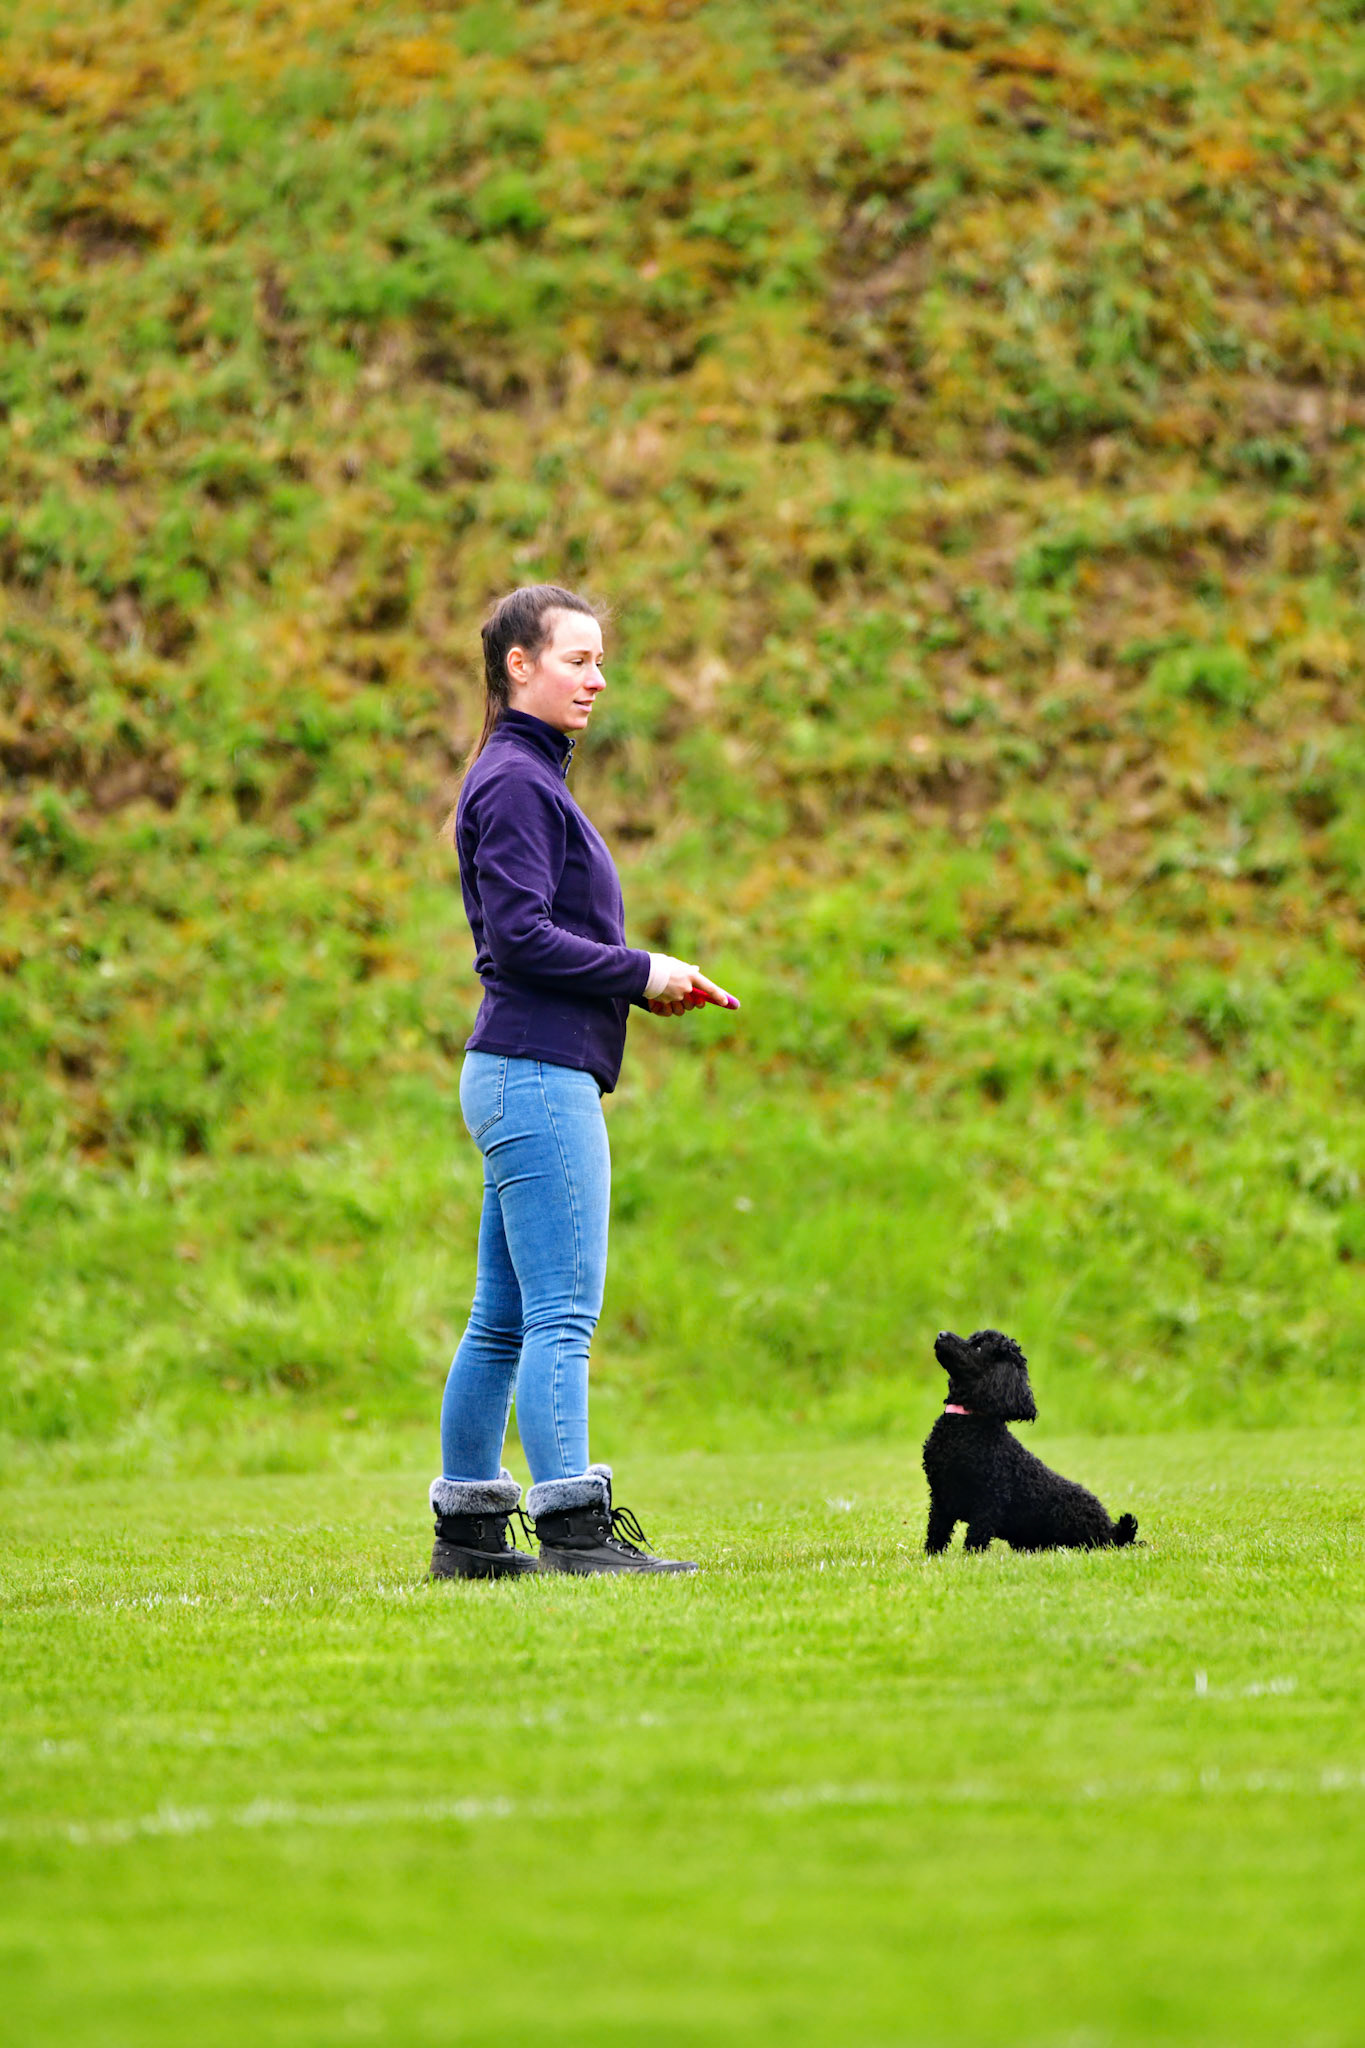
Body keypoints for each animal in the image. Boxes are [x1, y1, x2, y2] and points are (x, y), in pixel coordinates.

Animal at [922, 1329, 1139, 1554]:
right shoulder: (941, 1496)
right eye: (971, 1338)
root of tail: (1111, 1530)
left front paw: (972, 1557)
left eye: (979, 1347)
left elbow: (976, 1536)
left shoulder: (989, 1499)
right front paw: (931, 1555)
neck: (964, 1422)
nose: (941, 1333)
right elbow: (937, 1530)